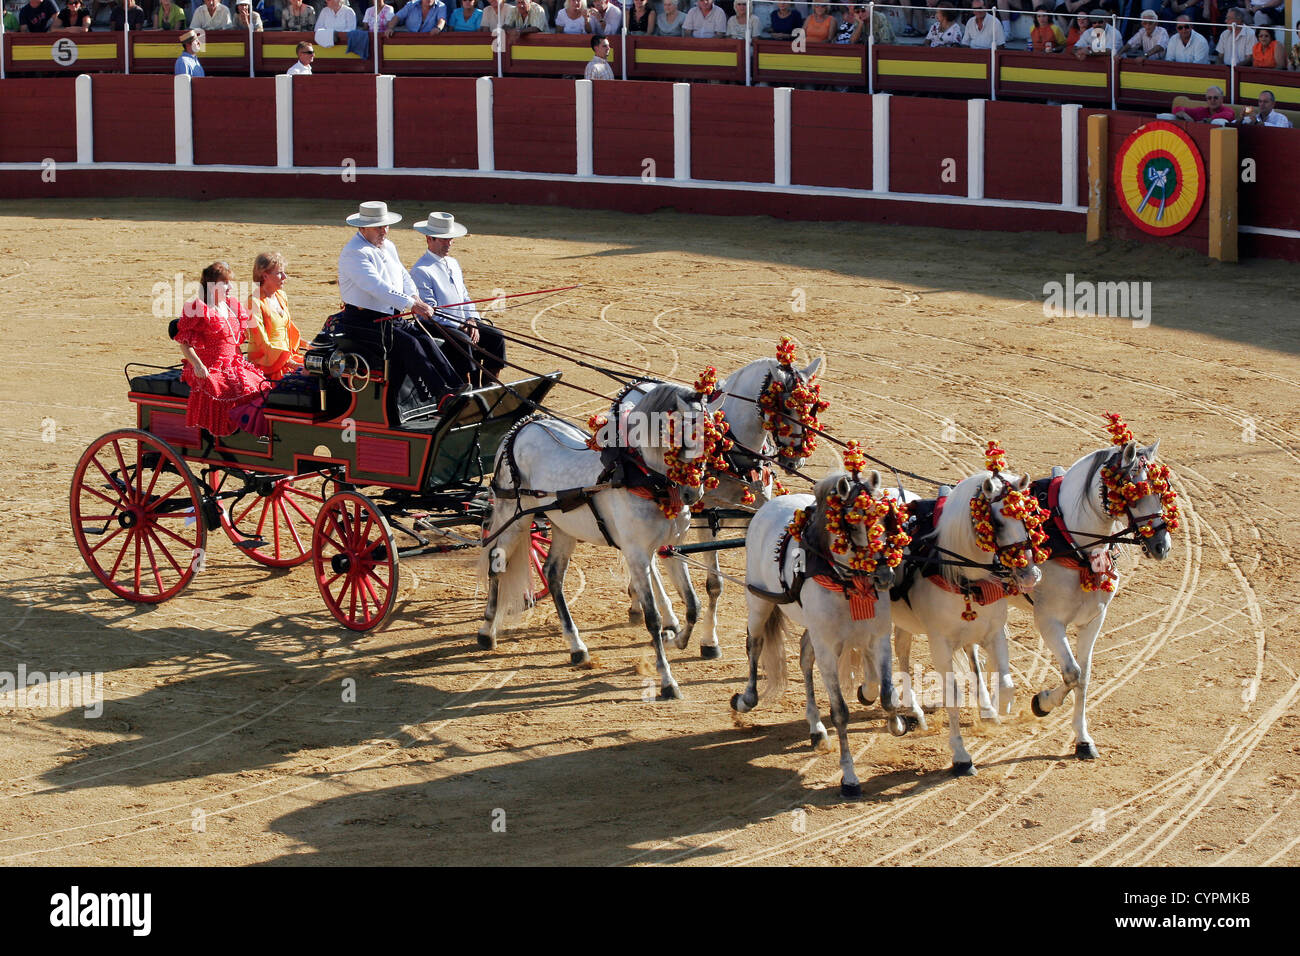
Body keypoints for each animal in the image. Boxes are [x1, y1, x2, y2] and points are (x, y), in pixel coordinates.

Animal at [478, 382, 722, 702]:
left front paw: (676, 639)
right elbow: (652, 617)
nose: (692, 493)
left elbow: (692, 604)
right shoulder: (636, 555)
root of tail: (523, 427)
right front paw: (667, 680)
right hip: (514, 516)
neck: (643, 477)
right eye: (681, 435)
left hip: (563, 526)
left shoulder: (670, 547)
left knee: (553, 574)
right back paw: (487, 631)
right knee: (497, 562)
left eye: (714, 438)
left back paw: (576, 647)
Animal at [621, 348, 821, 658]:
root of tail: (637, 385)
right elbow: (714, 584)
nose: (796, 458)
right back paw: (667, 617)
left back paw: (636, 602)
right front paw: (709, 641)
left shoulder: (754, 519)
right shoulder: (706, 520)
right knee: (651, 557)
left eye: (812, 407)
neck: (733, 451)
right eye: (785, 408)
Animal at [733, 470, 904, 801]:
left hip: (811, 628)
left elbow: (888, 695)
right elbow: (840, 712)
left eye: (885, 518)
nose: (884, 575)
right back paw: (747, 699)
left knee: (803, 657)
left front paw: (896, 723)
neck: (845, 581)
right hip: (759, 604)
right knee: (755, 645)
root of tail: (769, 504)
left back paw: (816, 728)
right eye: (852, 523)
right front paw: (849, 777)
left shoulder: (878, 639)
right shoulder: (828, 649)